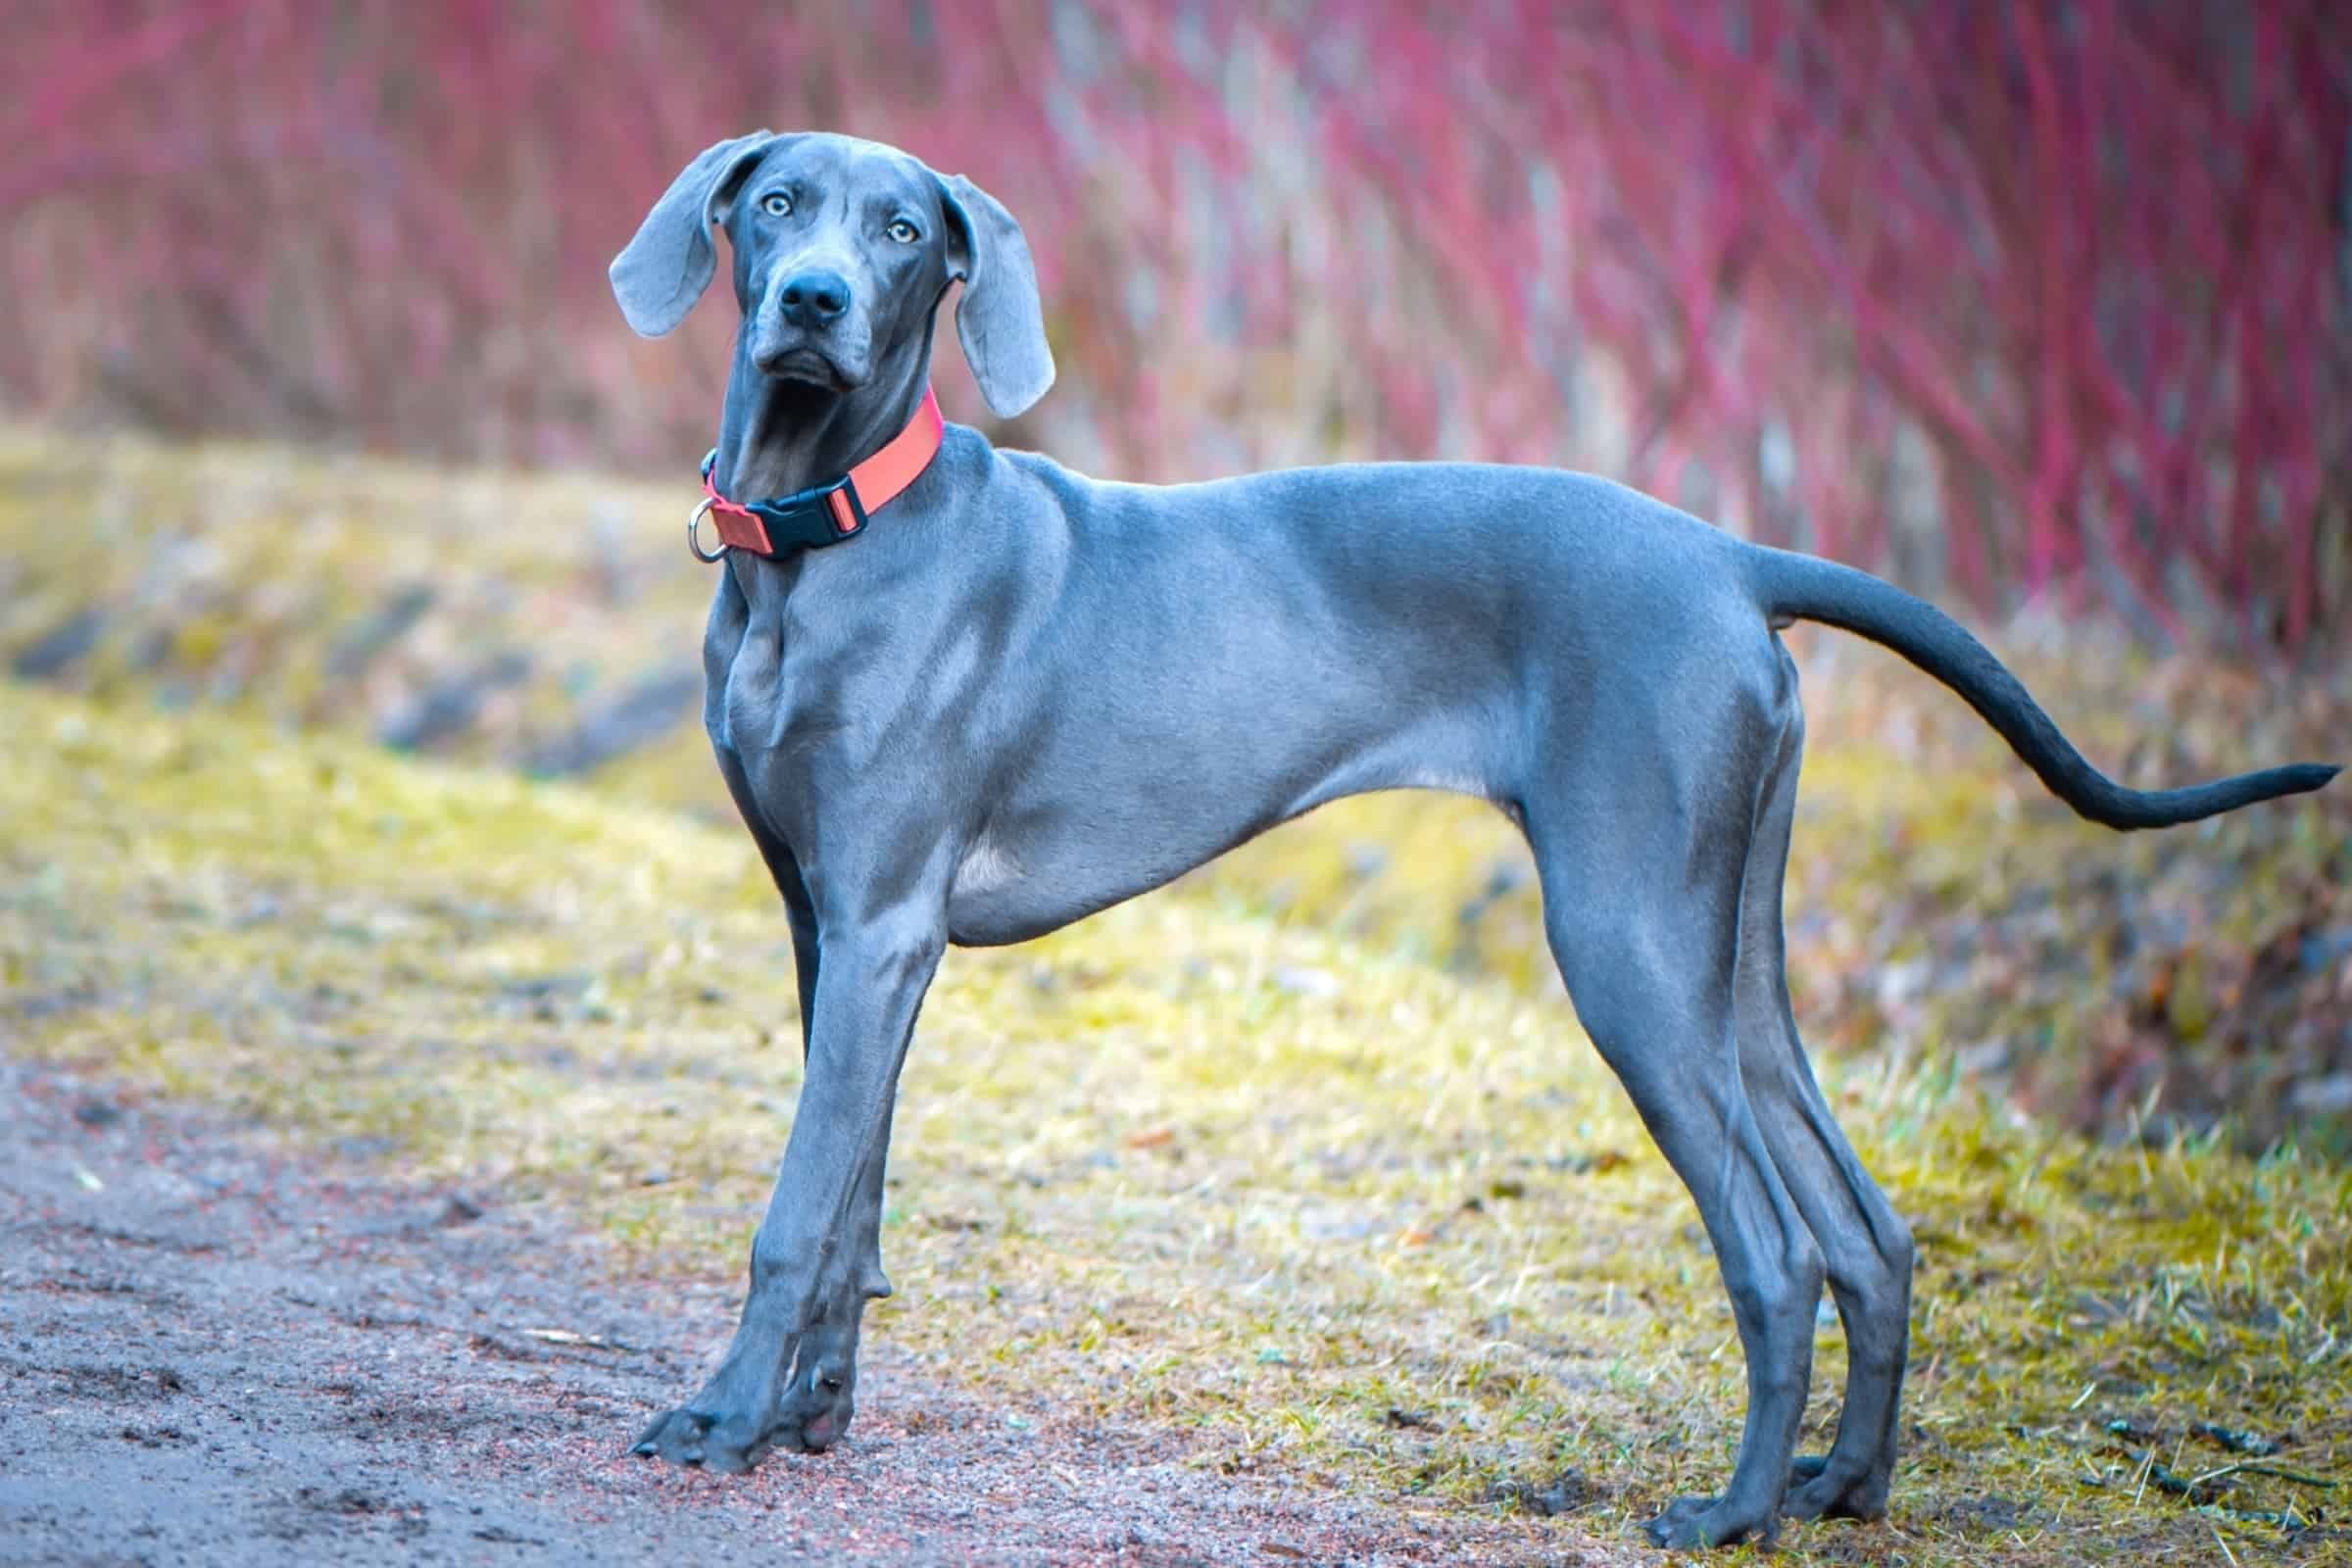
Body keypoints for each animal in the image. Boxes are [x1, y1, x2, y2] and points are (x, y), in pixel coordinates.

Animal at [607, 128, 2332, 1551]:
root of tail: (1730, 555)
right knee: (1871, 1230)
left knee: (1777, 1251)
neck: (818, 543)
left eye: (903, 230)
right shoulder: (837, 931)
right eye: (779, 205)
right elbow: (854, 1201)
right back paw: (1843, 1489)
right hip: (1727, 951)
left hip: (1625, 943)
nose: (814, 302)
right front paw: (813, 1418)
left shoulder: (883, 925)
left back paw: (1731, 1515)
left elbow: (793, 1212)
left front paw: (724, 1420)